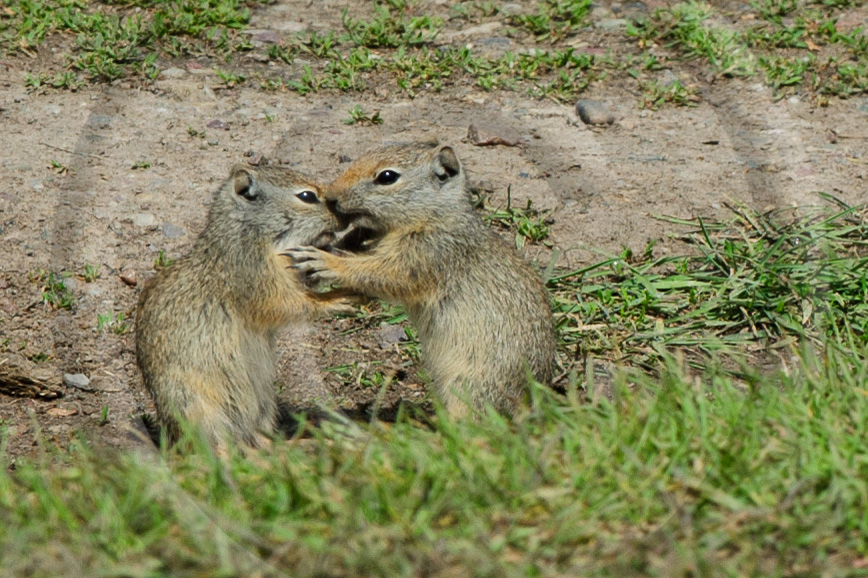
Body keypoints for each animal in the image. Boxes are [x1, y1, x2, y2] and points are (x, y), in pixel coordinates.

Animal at [136, 162, 352, 450]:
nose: (344, 218)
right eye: (306, 196)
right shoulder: (258, 279)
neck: (250, 233)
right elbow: (291, 304)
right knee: (220, 449)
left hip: (262, 407)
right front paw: (338, 299)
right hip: (199, 408)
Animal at [284, 142, 556, 416]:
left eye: (387, 176)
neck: (435, 215)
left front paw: (322, 260)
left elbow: (380, 273)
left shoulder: (425, 255)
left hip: (470, 386)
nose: (331, 197)